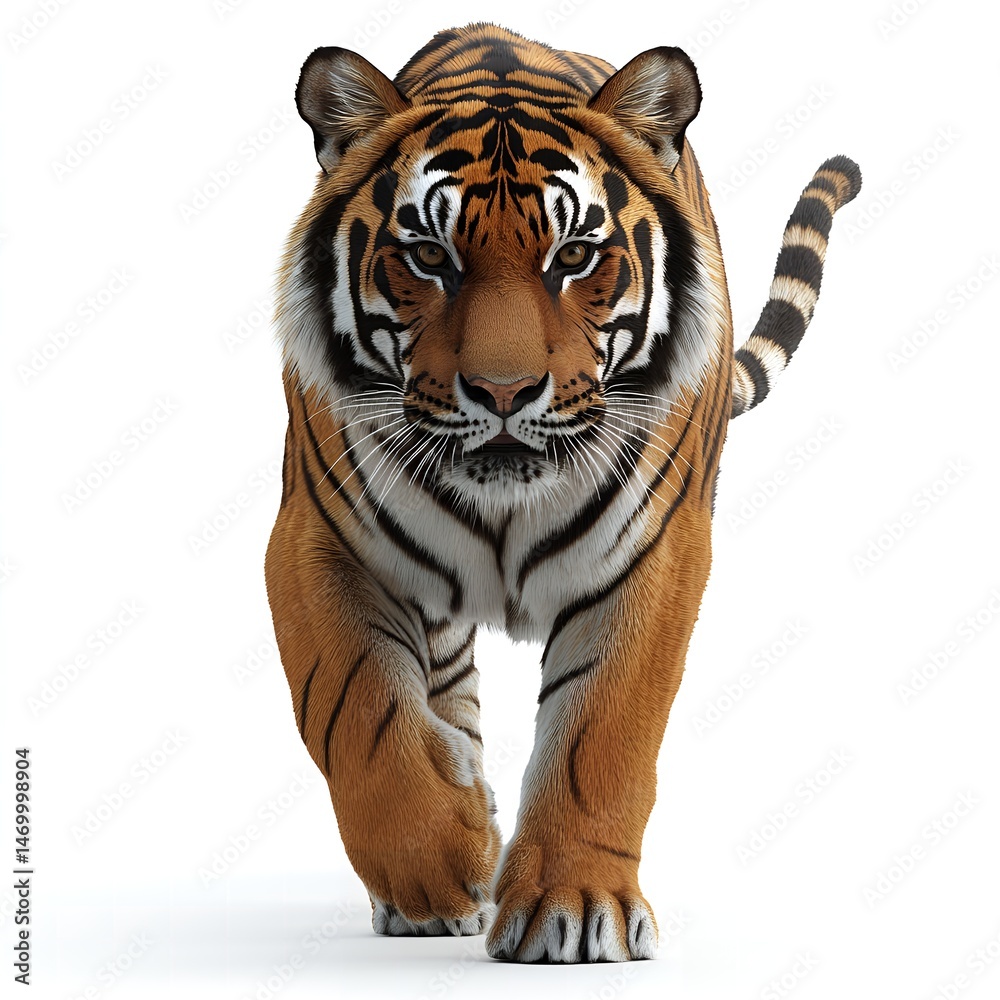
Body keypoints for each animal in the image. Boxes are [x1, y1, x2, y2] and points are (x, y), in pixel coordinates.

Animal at [265, 22, 861, 963]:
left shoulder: (656, 552)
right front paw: (445, 858)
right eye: (429, 257)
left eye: (574, 256)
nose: (504, 392)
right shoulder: (313, 539)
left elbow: (603, 731)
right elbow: (357, 710)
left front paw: (574, 909)